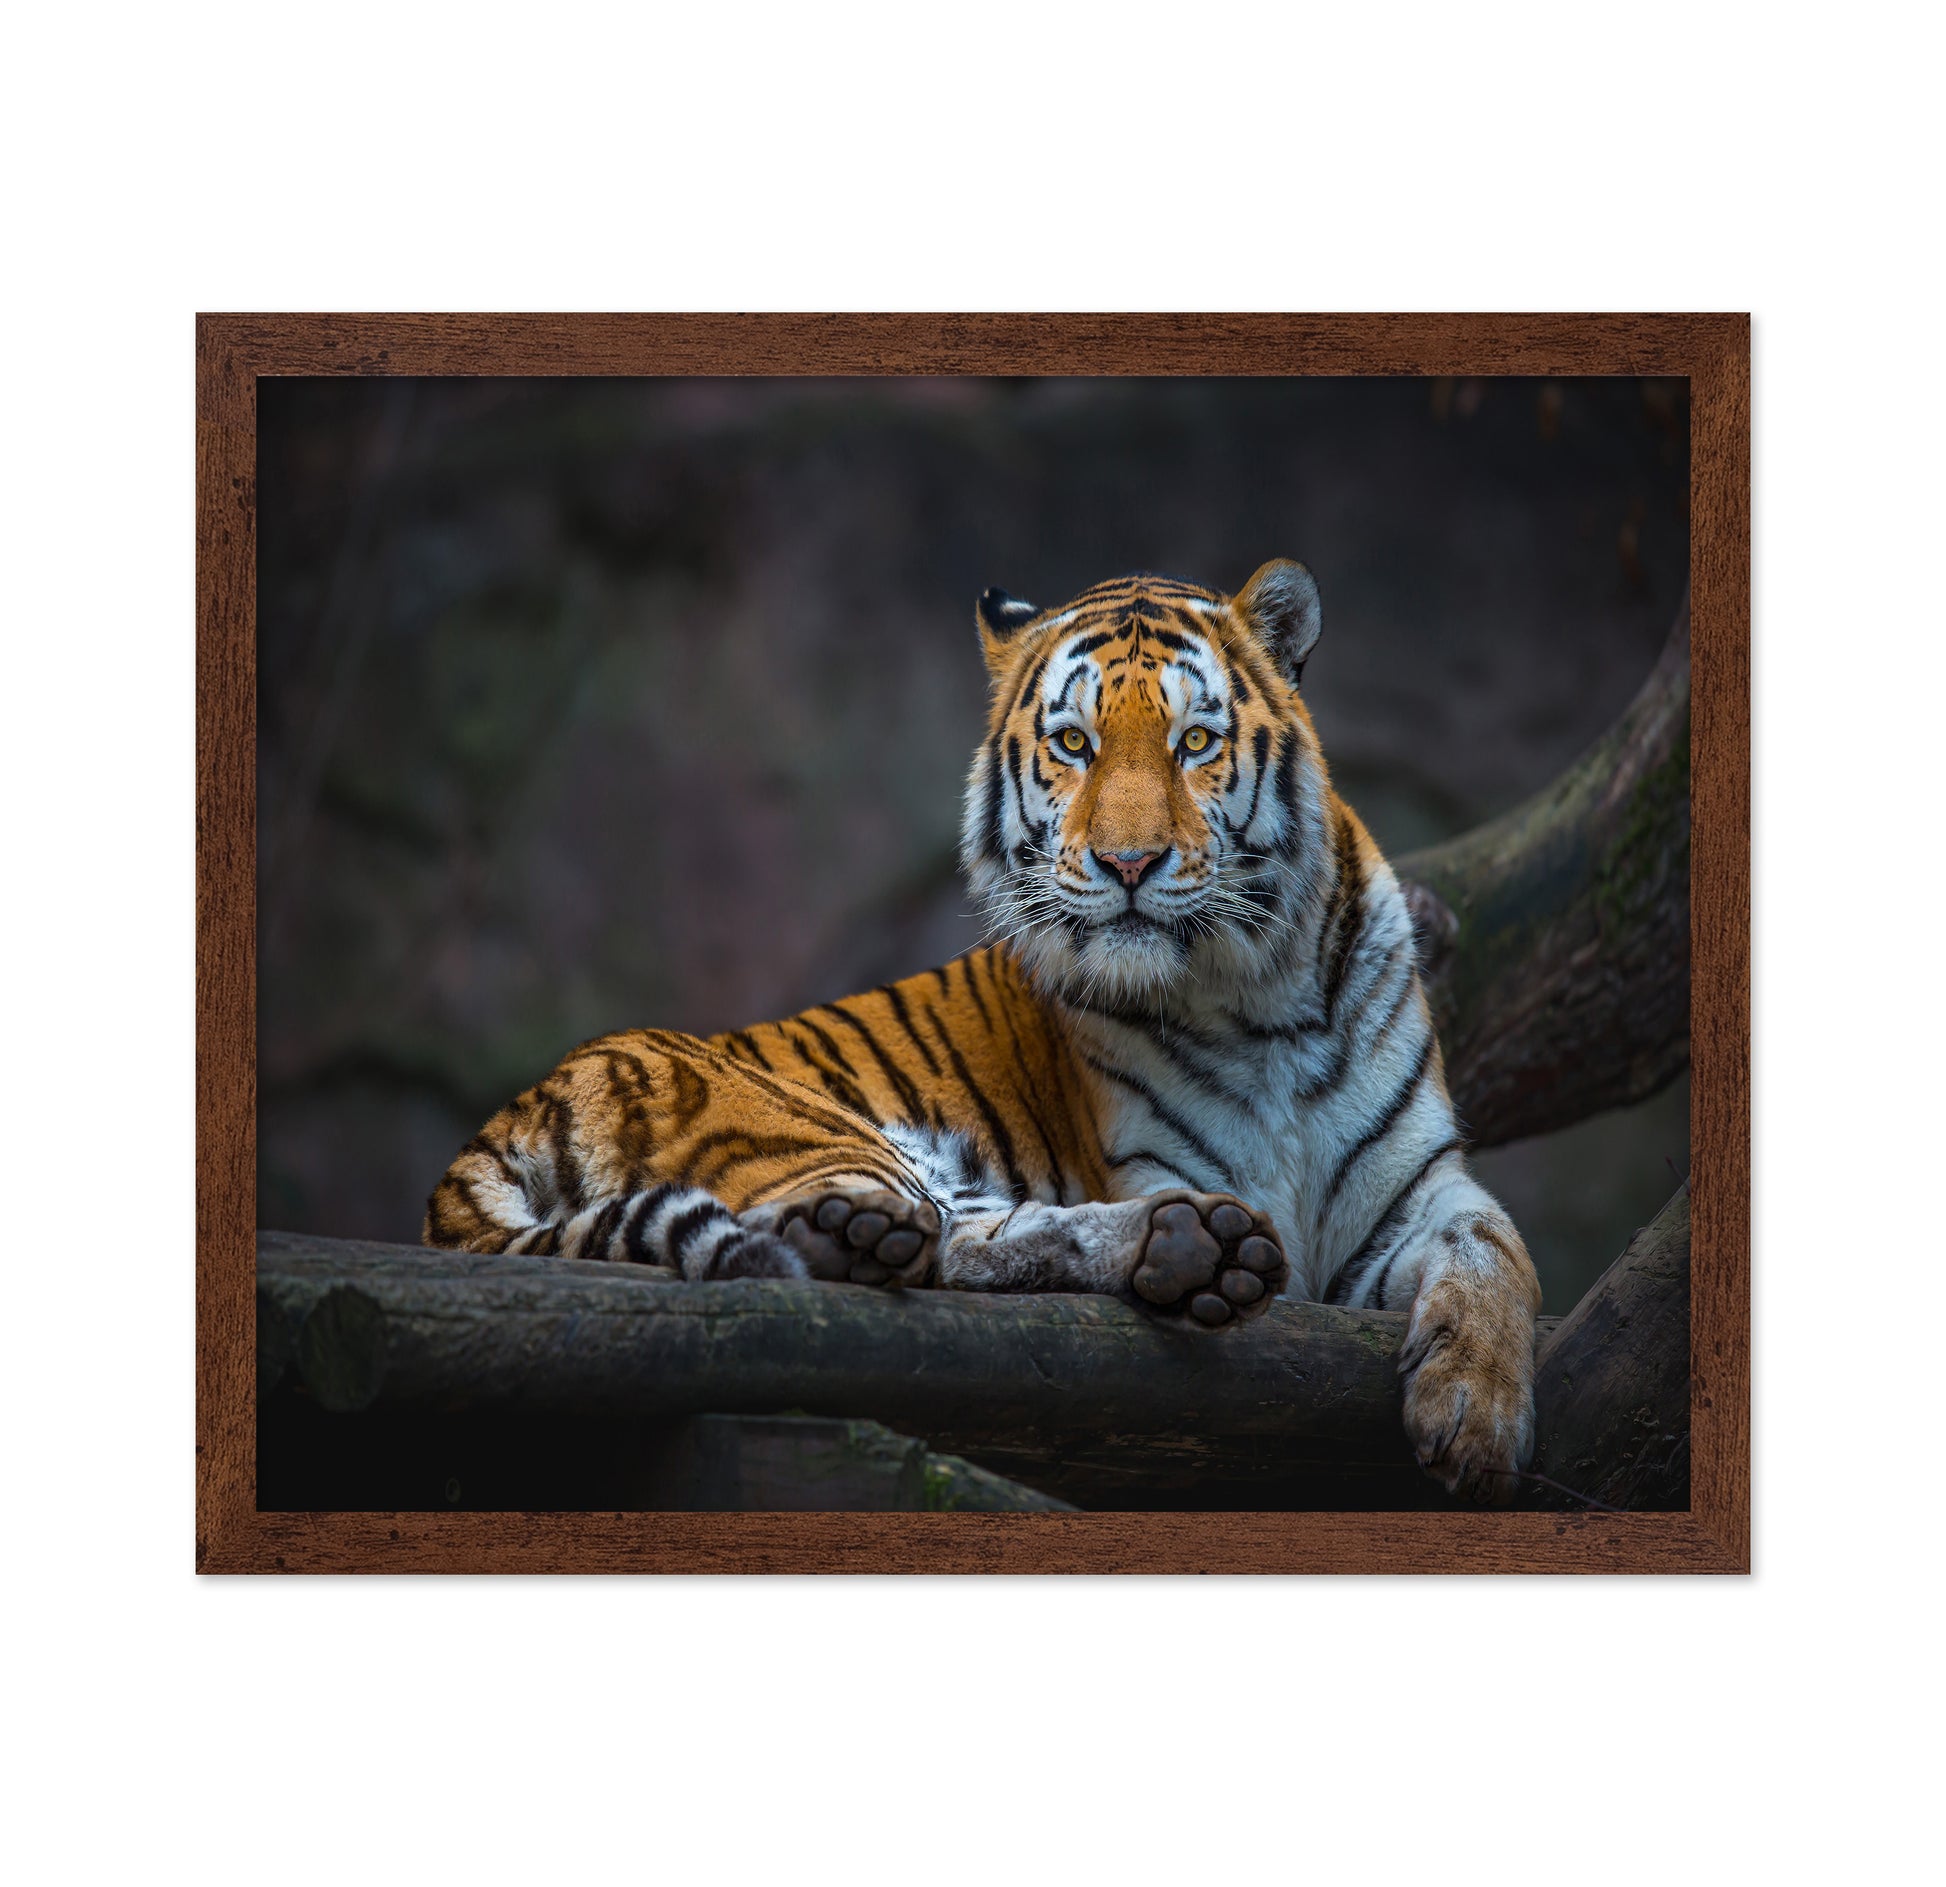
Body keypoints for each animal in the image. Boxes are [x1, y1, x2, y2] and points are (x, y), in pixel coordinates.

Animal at [425, 561, 1542, 1499]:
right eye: (1073, 744)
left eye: (1194, 742)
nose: (1128, 863)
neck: (1259, 998)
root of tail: (517, 1109)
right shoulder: (1161, 1160)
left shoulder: (1415, 1193)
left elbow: (1499, 1250)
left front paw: (1476, 1419)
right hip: (814, 1127)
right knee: (894, 1244)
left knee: (978, 1238)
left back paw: (1189, 1249)